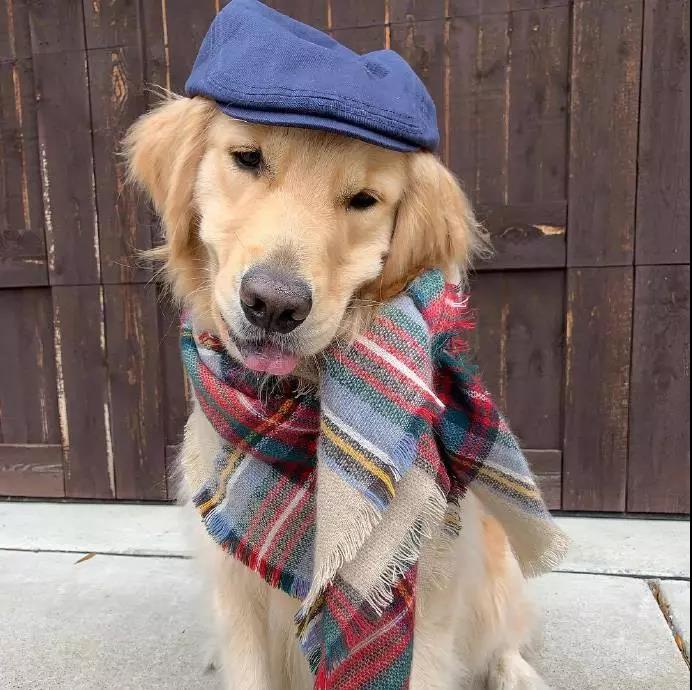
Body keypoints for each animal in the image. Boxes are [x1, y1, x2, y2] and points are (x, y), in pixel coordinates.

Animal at [125, 94, 548, 690]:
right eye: (248, 158)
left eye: (363, 200)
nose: (273, 304)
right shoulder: (234, 586)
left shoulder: (429, 582)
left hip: (495, 570)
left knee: (506, 634)